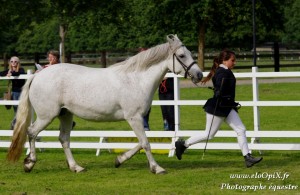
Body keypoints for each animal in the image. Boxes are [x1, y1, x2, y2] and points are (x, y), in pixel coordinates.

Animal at [7, 34, 203, 174]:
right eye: (182, 55)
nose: (199, 75)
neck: (136, 79)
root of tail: (38, 75)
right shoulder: (134, 118)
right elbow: (145, 143)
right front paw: (157, 168)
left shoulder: (137, 119)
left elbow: (141, 142)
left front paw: (119, 160)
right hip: (47, 116)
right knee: (32, 133)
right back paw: (29, 163)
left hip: (65, 114)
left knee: (63, 139)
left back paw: (76, 167)